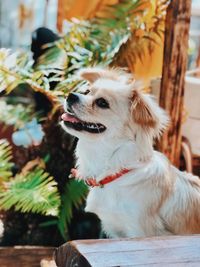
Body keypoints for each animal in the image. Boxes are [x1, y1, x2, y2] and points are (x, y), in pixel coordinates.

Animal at [60, 68, 200, 239]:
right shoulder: (116, 233)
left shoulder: (140, 232)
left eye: (102, 103)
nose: (71, 95)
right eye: (86, 92)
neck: (117, 171)